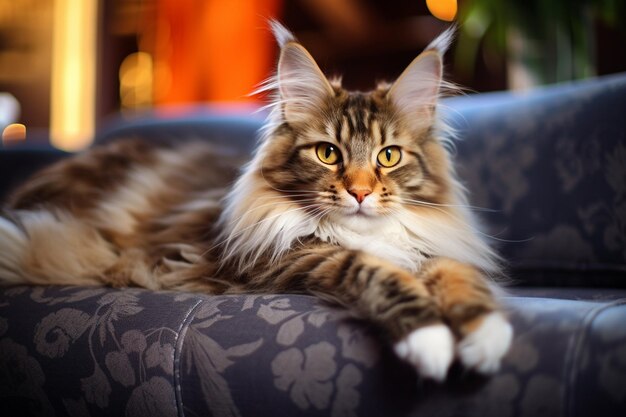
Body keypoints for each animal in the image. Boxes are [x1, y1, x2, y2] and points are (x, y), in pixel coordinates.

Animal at [0, 22, 512, 380]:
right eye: (328, 153)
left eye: (388, 156)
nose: (361, 192)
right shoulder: (284, 259)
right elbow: (372, 270)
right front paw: (429, 339)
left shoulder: (430, 250)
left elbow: (456, 273)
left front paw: (486, 334)